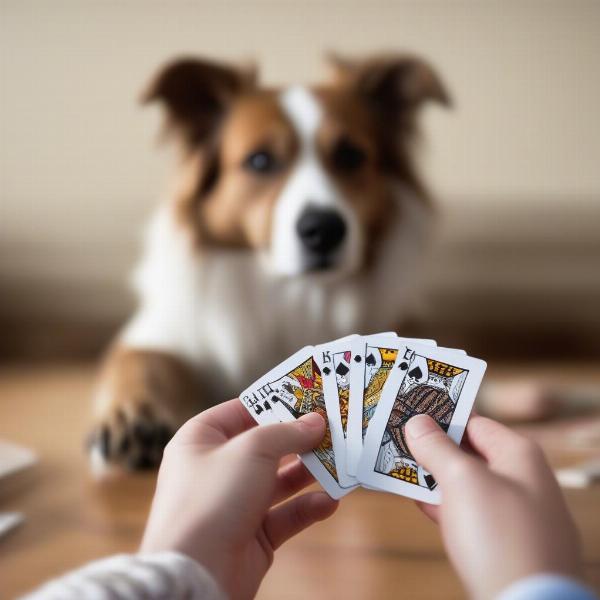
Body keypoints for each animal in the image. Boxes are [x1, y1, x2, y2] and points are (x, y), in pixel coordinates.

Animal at [86, 52, 448, 474]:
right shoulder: (162, 330)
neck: (290, 294)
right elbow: (140, 363)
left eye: (350, 156)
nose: (324, 229)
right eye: (260, 161)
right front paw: (133, 416)